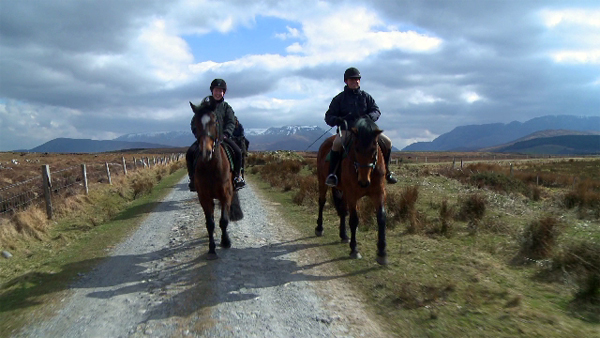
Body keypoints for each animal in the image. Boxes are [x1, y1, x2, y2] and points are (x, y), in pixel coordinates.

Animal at [190, 100, 241, 258]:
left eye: (215, 121)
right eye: (195, 123)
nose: (206, 152)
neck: (211, 166)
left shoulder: (226, 195)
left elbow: (223, 221)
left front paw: (226, 241)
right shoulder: (204, 197)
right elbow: (210, 223)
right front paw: (211, 248)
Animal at [316, 117, 386, 266]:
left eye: (374, 150)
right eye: (356, 149)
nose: (364, 182)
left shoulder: (379, 193)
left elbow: (381, 218)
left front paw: (382, 252)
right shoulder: (353, 195)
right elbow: (354, 220)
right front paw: (354, 249)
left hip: (343, 190)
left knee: (342, 210)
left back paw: (344, 235)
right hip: (322, 181)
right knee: (322, 202)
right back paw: (319, 228)